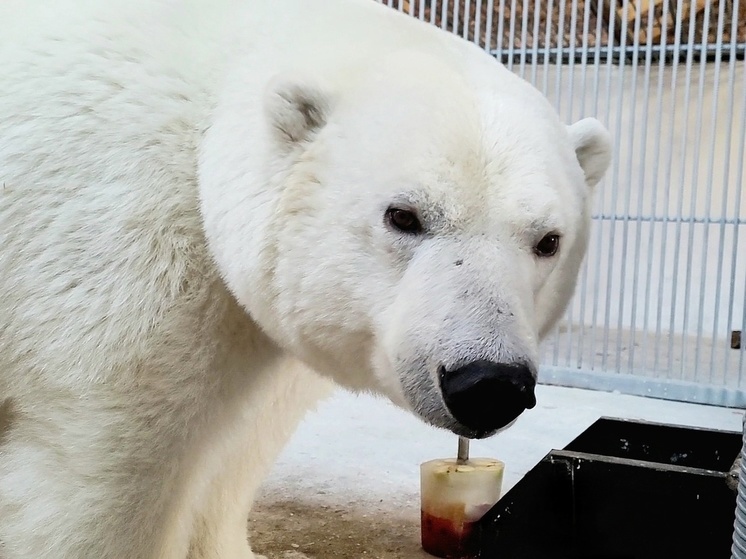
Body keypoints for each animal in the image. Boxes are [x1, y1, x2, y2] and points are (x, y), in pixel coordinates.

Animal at [0, 1, 608, 559]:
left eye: (548, 240)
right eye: (403, 215)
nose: (487, 384)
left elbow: (239, 445)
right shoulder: (123, 252)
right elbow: (103, 472)